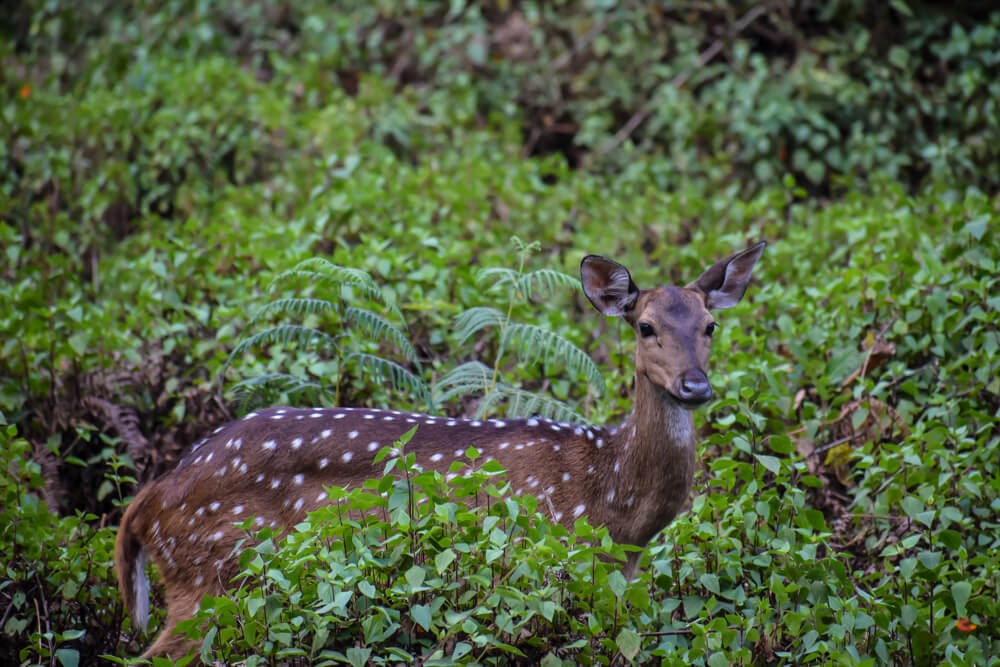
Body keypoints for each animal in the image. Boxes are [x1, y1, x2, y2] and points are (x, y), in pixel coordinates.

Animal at [115, 243, 764, 660]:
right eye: (645, 327)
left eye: (710, 326)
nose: (695, 386)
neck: (613, 507)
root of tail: (150, 499)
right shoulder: (537, 566)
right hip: (214, 572)